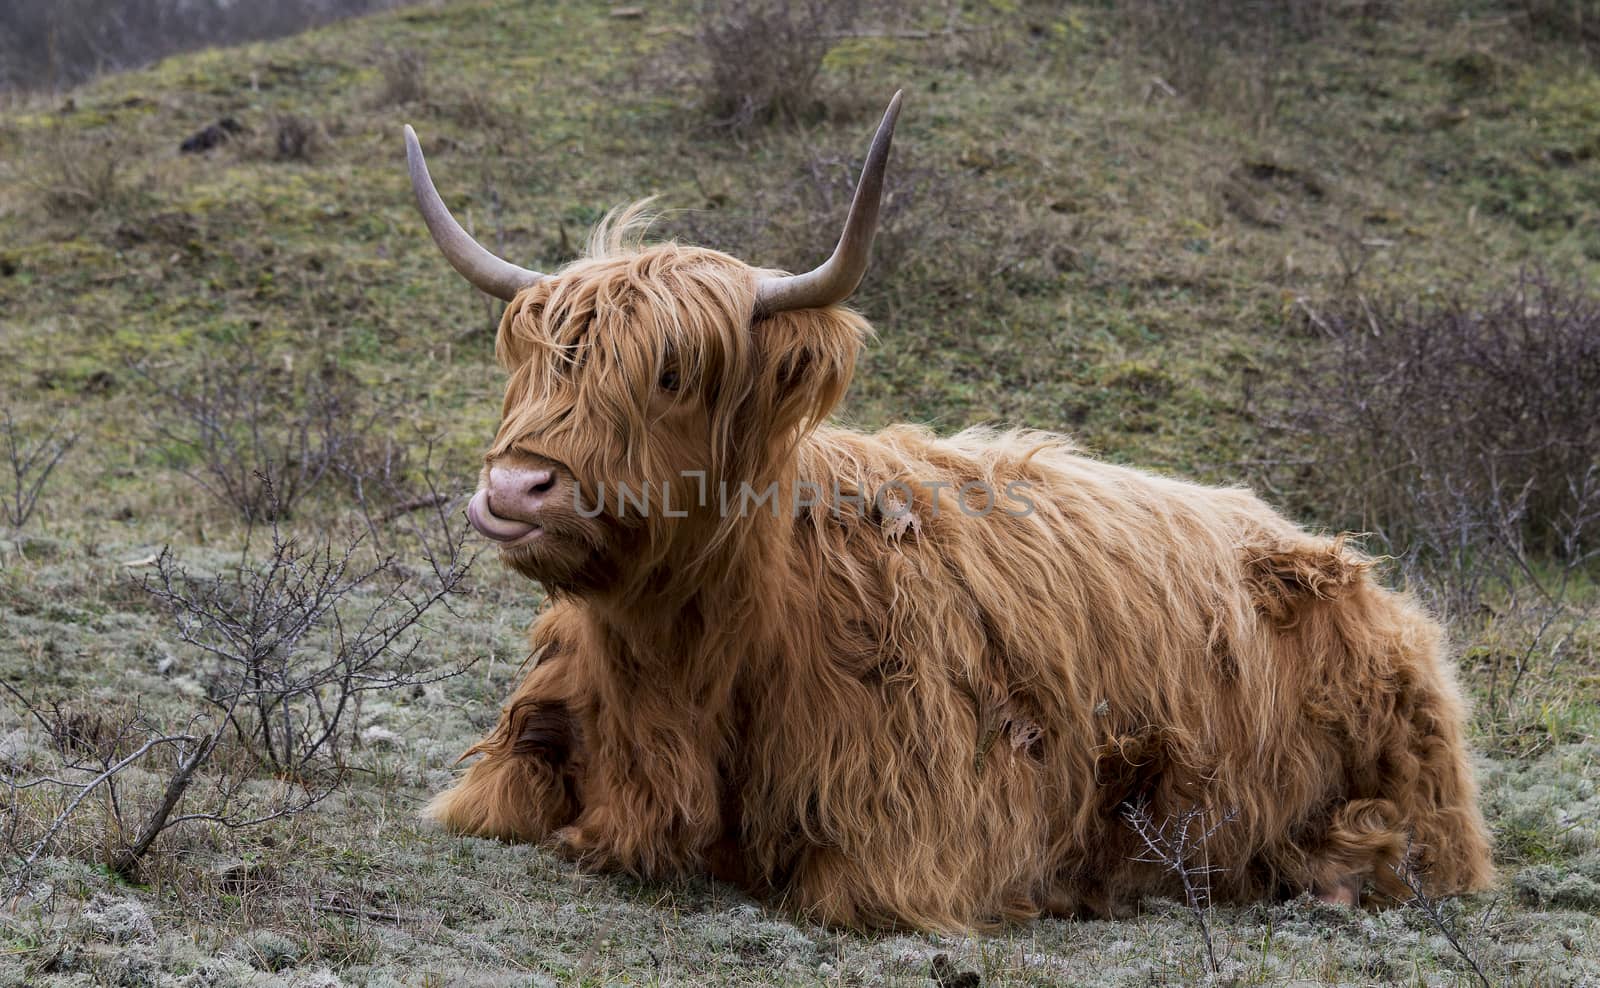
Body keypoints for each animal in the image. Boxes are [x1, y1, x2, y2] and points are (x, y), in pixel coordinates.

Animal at [400, 90, 1484, 920]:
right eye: (534, 362)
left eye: (671, 373)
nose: (515, 487)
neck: (689, 660)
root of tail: (1360, 572)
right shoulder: (514, 764)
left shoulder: (922, 832)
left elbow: (843, 889)